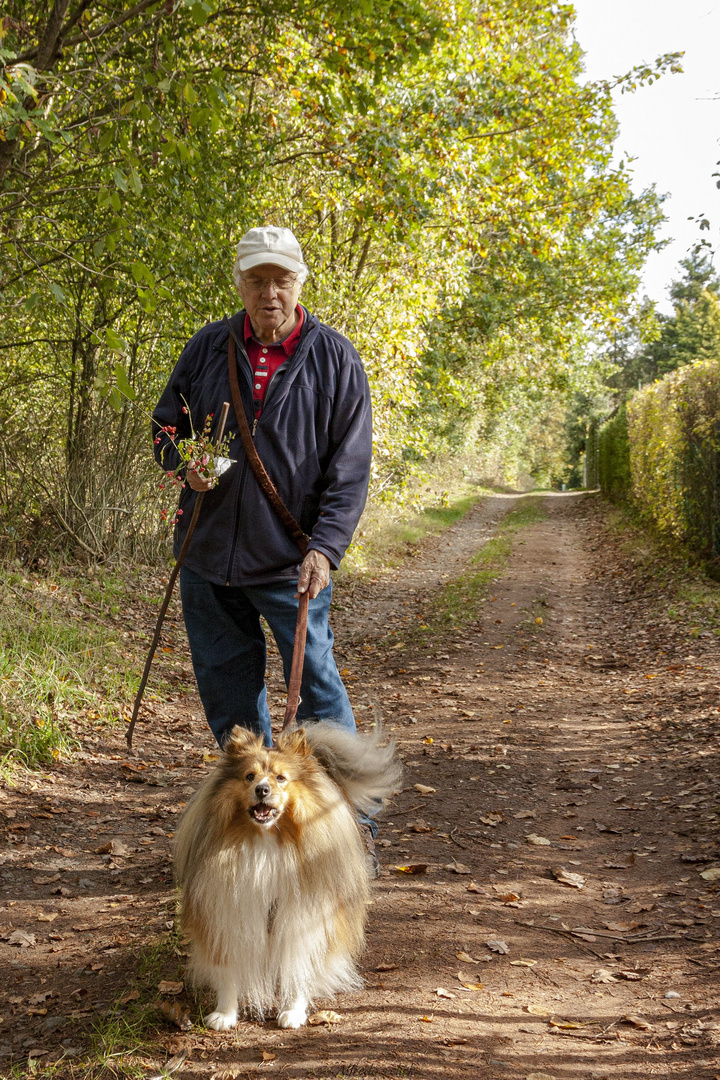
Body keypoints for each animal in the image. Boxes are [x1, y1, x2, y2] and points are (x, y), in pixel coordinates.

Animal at [173, 721, 399, 1032]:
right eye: (249, 776)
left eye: (281, 778)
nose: (262, 789)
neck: (267, 842)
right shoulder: (229, 912)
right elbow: (229, 969)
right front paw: (225, 1014)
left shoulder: (303, 916)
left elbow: (299, 966)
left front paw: (293, 1011)